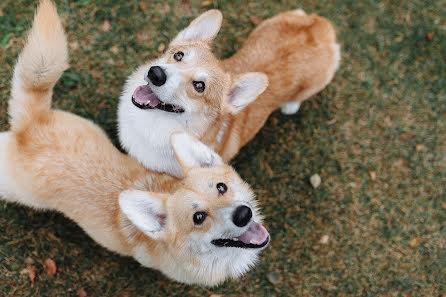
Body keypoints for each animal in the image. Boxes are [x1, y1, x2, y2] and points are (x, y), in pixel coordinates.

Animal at [116, 8, 340, 176]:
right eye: (178, 55)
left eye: (199, 86)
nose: (155, 73)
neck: (154, 126)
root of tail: (320, 25)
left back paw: (291, 106)